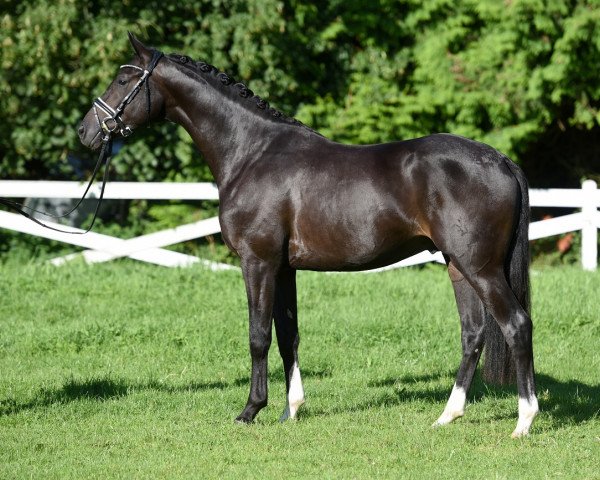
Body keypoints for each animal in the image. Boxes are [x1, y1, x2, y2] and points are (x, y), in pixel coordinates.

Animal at [78, 32, 540, 438]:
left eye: (123, 80)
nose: (85, 131)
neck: (251, 152)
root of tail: (500, 159)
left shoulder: (258, 261)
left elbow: (259, 336)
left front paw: (250, 411)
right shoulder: (284, 268)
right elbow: (288, 336)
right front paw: (291, 410)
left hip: (480, 268)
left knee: (516, 325)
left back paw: (523, 422)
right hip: (457, 266)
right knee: (473, 333)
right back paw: (448, 416)